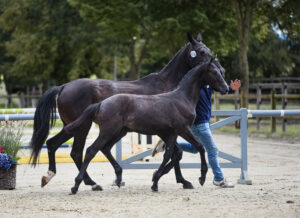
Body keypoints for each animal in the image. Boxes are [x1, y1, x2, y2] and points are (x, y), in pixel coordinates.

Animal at [63, 56, 227, 194]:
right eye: (214, 72)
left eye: (221, 71)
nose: (226, 88)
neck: (182, 98)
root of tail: (101, 104)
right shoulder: (182, 129)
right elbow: (199, 147)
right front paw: (201, 178)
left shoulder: (171, 133)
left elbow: (171, 154)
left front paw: (157, 179)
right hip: (108, 131)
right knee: (91, 150)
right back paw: (77, 185)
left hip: (119, 132)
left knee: (105, 148)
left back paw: (117, 178)